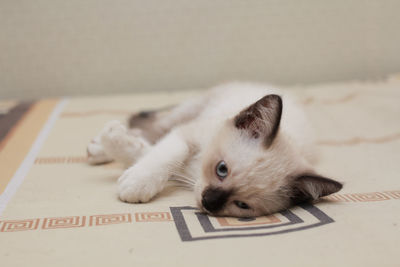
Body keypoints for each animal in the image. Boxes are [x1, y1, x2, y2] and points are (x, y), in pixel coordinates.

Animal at [86, 83, 340, 218]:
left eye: (242, 205)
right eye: (222, 169)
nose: (208, 202)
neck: (195, 172)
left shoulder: (183, 169)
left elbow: (144, 152)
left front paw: (118, 146)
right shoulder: (186, 135)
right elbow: (166, 154)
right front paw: (136, 181)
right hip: (190, 110)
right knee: (154, 124)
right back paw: (97, 148)